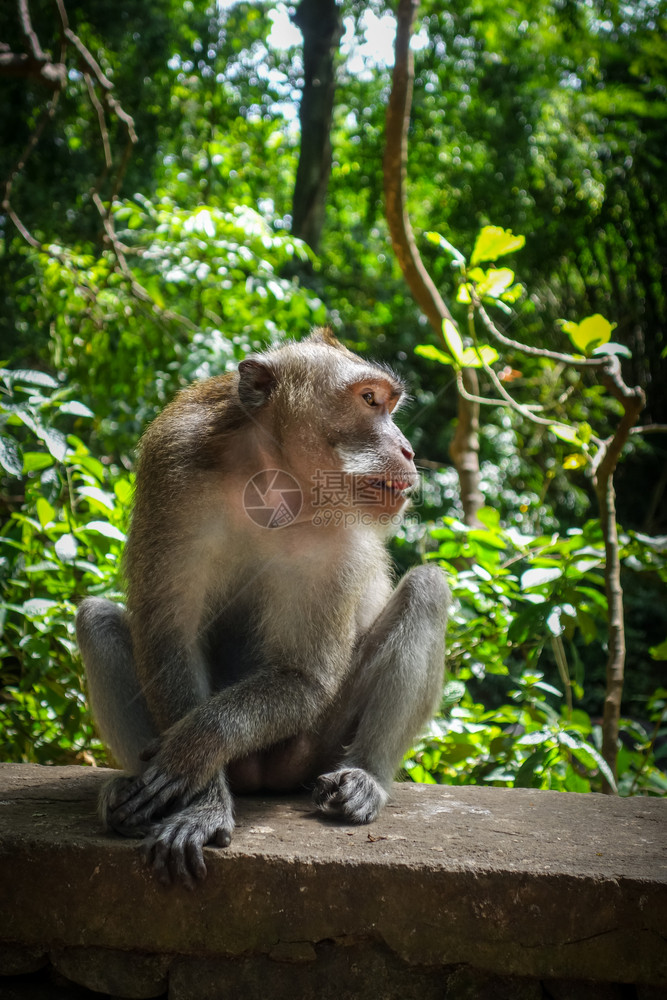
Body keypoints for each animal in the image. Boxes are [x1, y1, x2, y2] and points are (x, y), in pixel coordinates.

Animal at [75, 328, 452, 884]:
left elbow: (304, 676)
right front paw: (203, 799)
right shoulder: (173, 469)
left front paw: (196, 750)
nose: (407, 449)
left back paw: (367, 777)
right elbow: (168, 641)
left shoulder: (337, 529)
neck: (272, 475)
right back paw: (129, 796)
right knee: (96, 620)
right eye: (369, 400)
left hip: (313, 747)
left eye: (388, 403)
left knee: (427, 589)